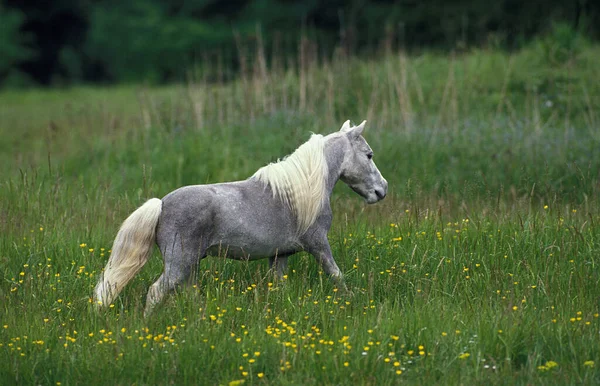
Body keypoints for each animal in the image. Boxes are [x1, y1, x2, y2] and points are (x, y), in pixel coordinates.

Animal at [91, 120, 386, 316]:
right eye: (369, 154)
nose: (381, 190)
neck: (300, 193)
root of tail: (161, 204)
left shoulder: (280, 255)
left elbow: (279, 287)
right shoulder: (318, 244)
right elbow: (337, 276)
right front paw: (352, 301)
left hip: (190, 265)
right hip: (178, 265)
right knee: (155, 293)